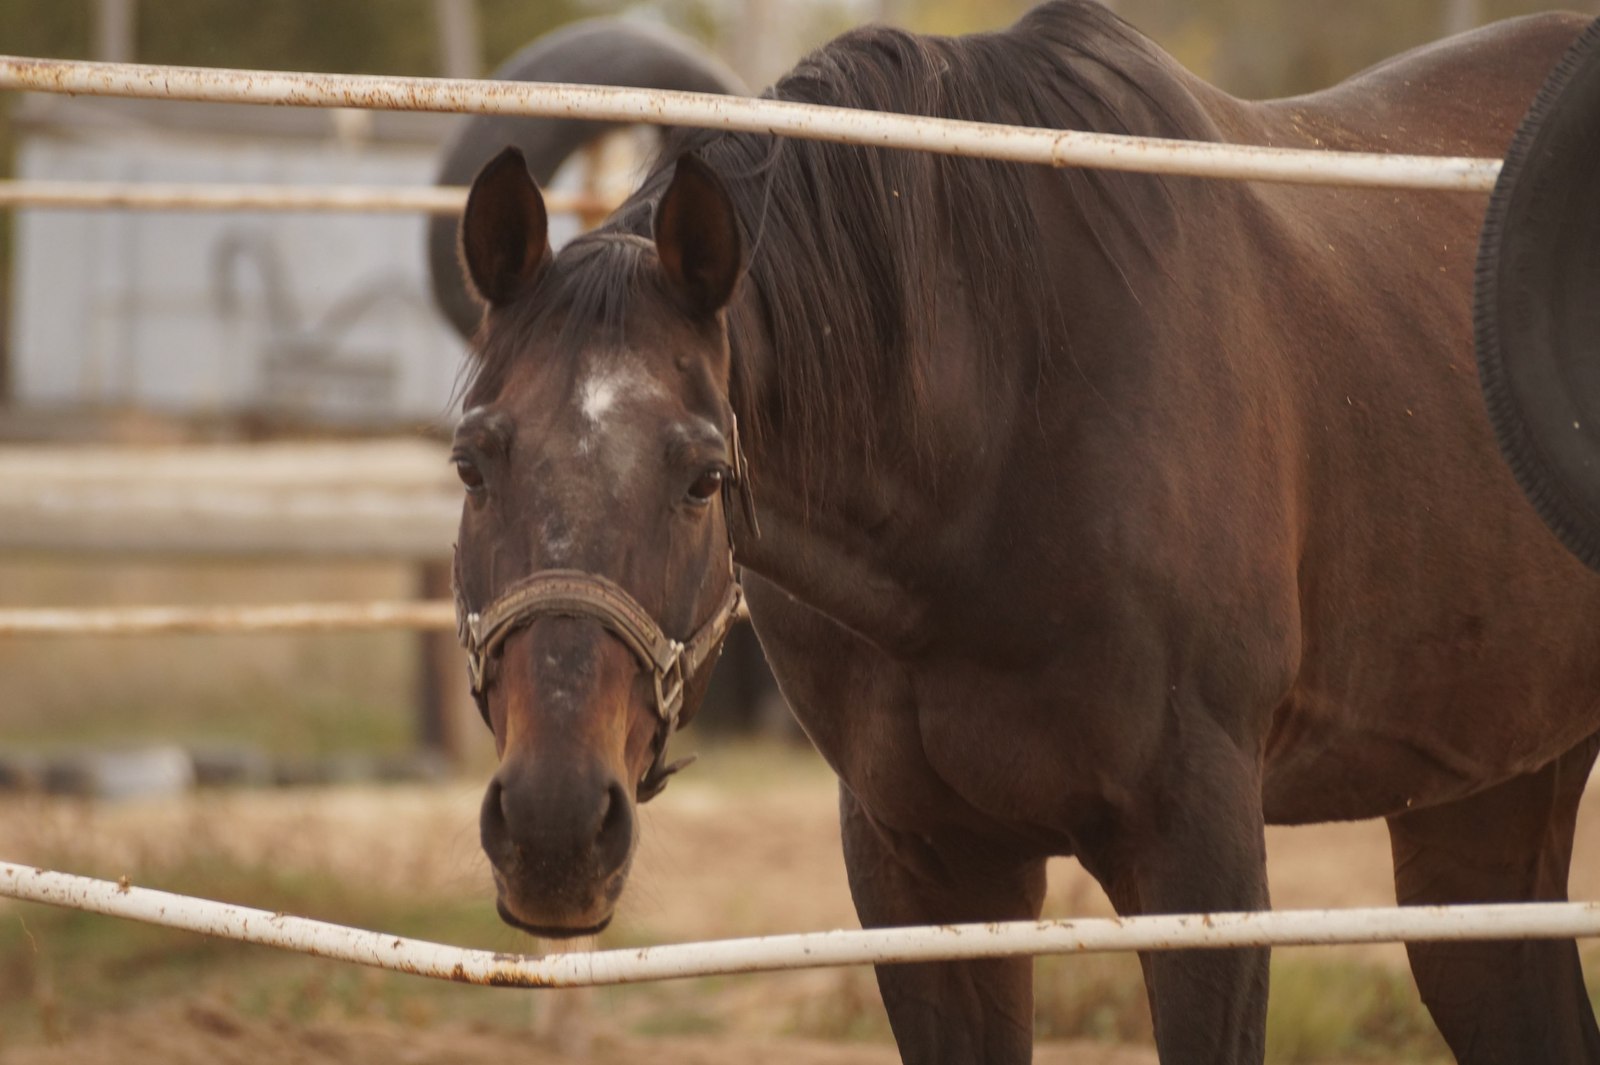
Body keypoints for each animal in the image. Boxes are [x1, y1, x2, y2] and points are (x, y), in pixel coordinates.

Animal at [448, 6, 1600, 1055]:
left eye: (703, 477)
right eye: (470, 461)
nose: (554, 826)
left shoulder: (1202, 862)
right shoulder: (926, 871)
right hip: (1484, 809)